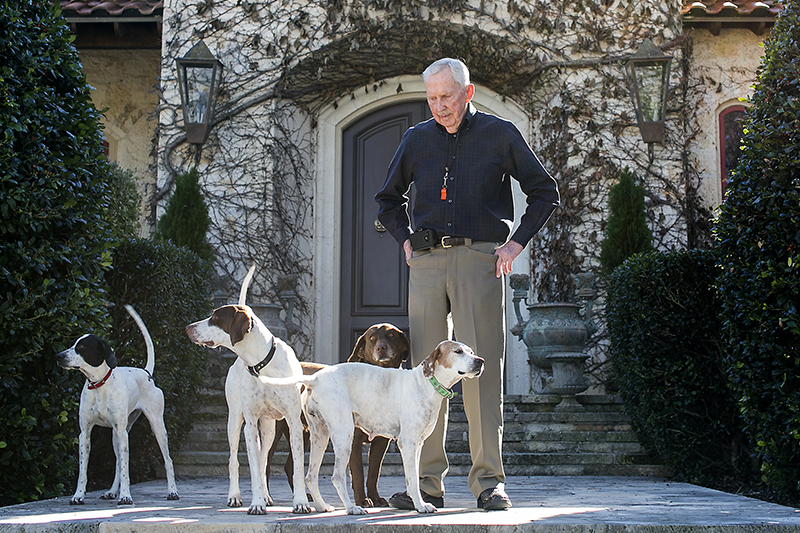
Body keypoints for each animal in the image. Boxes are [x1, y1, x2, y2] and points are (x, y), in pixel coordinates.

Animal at [57, 306, 179, 504]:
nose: (58, 356)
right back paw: (112, 491)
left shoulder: (122, 433)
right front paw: (78, 495)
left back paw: (172, 492)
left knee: (167, 460)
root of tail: (146, 373)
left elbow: (125, 469)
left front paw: (126, 496)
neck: (99, 385)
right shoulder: (85, 434)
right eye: (72, 344)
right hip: (116, 434)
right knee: (117, 462)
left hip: (155, 426)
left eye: (82, 347)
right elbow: (83, 470)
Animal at [268, 322, 410, 504]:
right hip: (276, 429)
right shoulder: (354, 440)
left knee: (289, 466)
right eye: (372, 338)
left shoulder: (380, 441)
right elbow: (358, 473)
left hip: (304, 432)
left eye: (391, 336)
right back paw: (267, 497)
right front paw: (362, 500)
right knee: (265, 461)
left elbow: (373, 472)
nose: (381, 348)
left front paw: (375, 498)